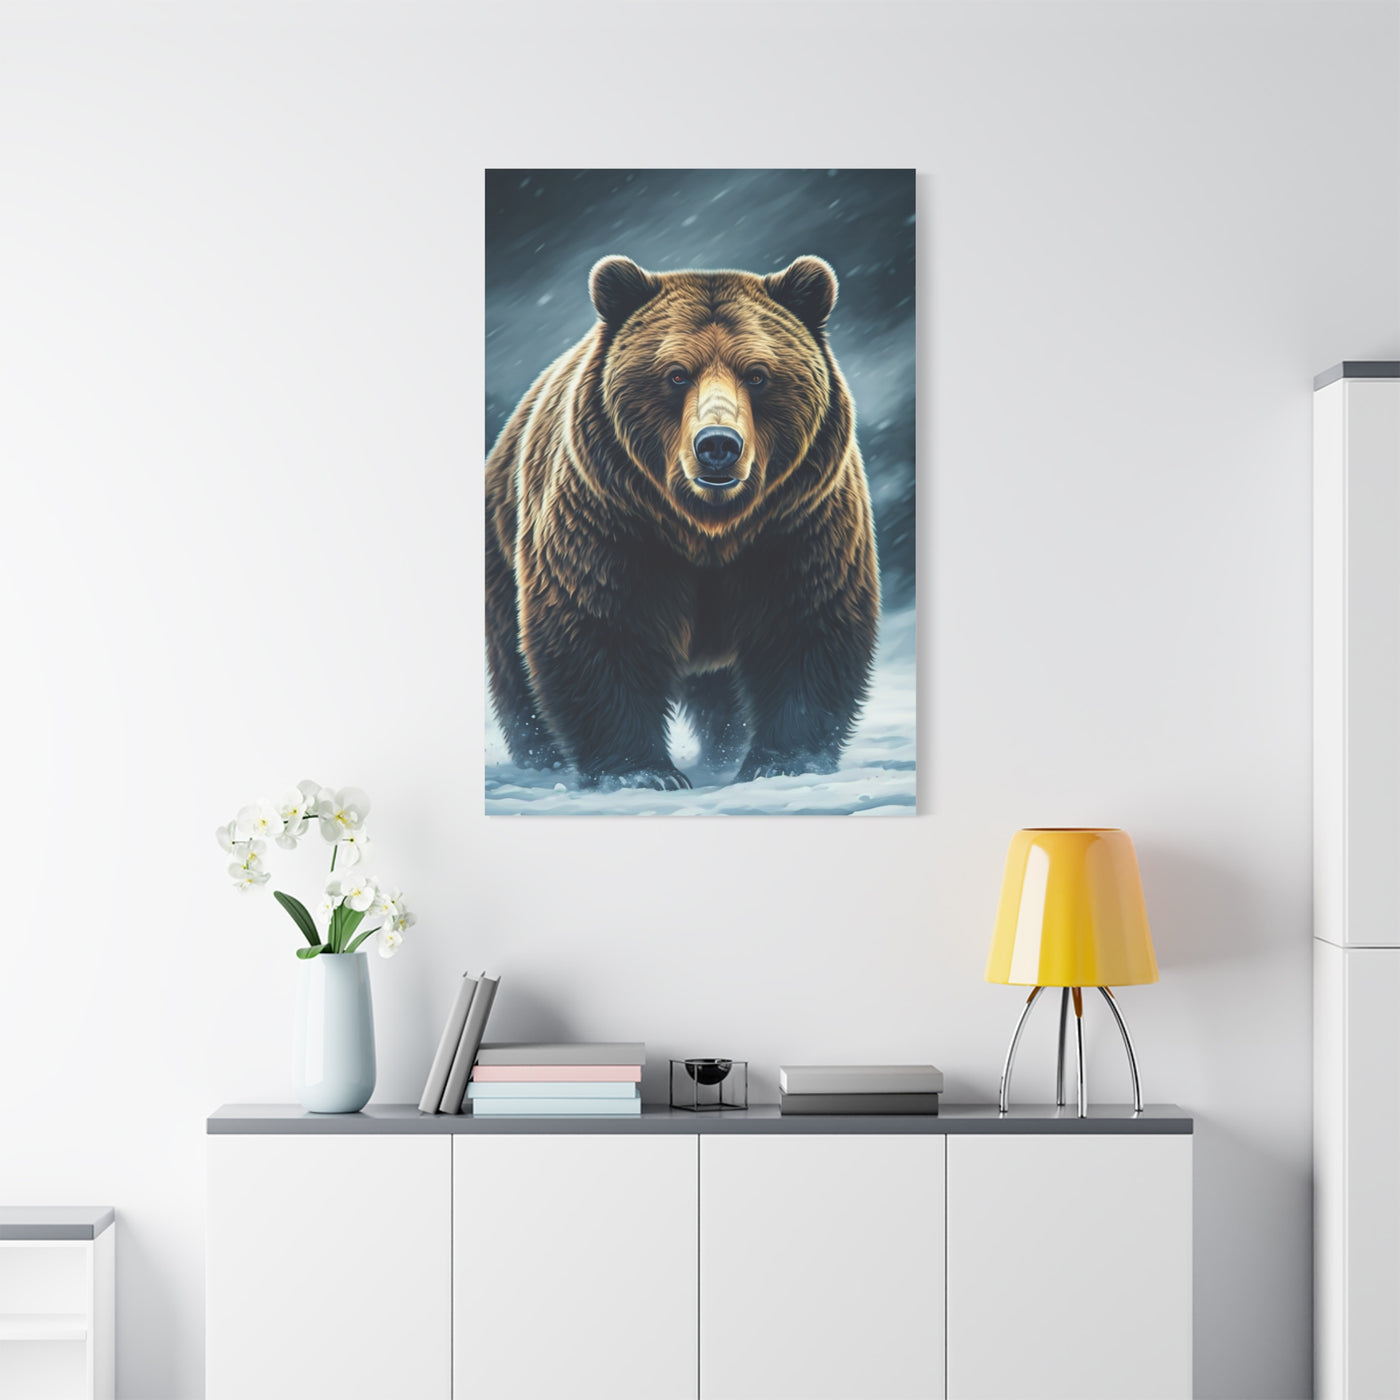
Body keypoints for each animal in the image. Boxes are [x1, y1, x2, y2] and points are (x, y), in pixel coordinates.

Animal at [485, 254, 880, 791]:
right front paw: (642, 773)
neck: (707, 528)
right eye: (676, 374)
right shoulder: (609, 522)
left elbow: (807, 625)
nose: (718, 444)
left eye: (757, 374)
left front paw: (782, 763)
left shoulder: (799, 524)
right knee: (515, 667)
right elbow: (599, 628)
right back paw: (541, 759)